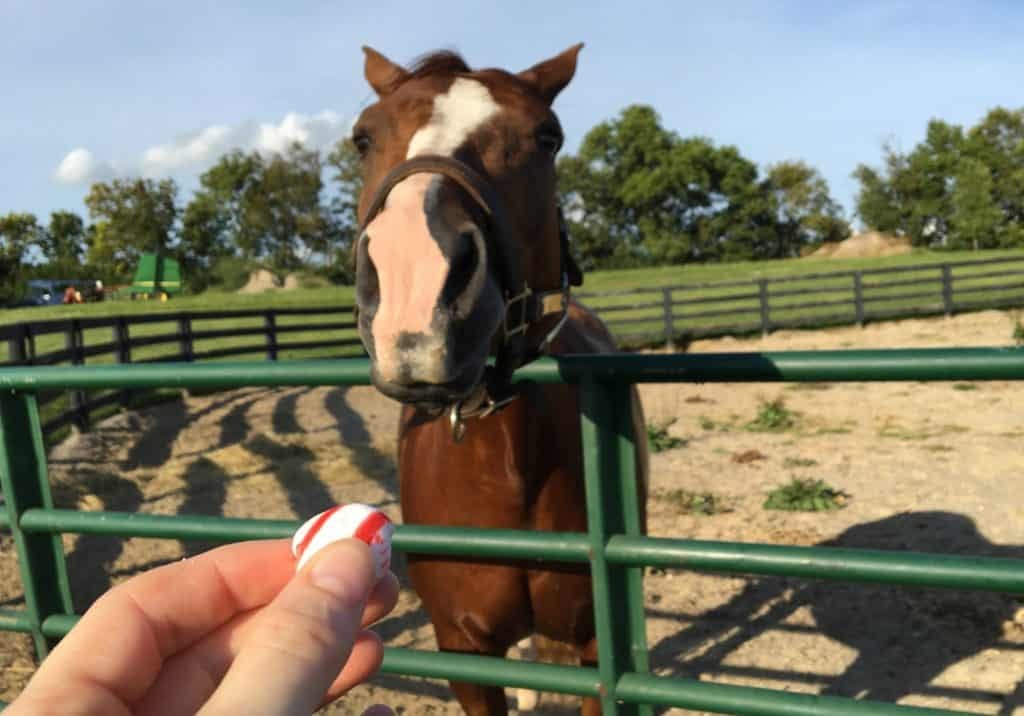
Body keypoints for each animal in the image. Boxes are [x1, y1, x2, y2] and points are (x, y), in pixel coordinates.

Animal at [350, 44, 647, 716]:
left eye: (547, 137)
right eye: (362, 138)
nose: (415, 288)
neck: (505, 466)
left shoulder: (598, 649)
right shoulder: (463, 651)